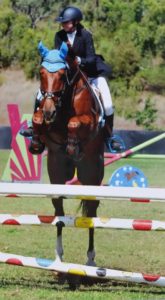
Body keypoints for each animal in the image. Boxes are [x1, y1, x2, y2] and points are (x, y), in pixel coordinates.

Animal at [32, 41, 105, 268]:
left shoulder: (89, 122)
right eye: (41, 73)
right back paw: (58, 257)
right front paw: (36, 140)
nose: (49, 111)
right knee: (59, 212)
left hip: (91, 175)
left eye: (62, 74)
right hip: (57, 172)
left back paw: (90, 259)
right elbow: (37, 120)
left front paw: (73, 145)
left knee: (91, 211)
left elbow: (74, 122)